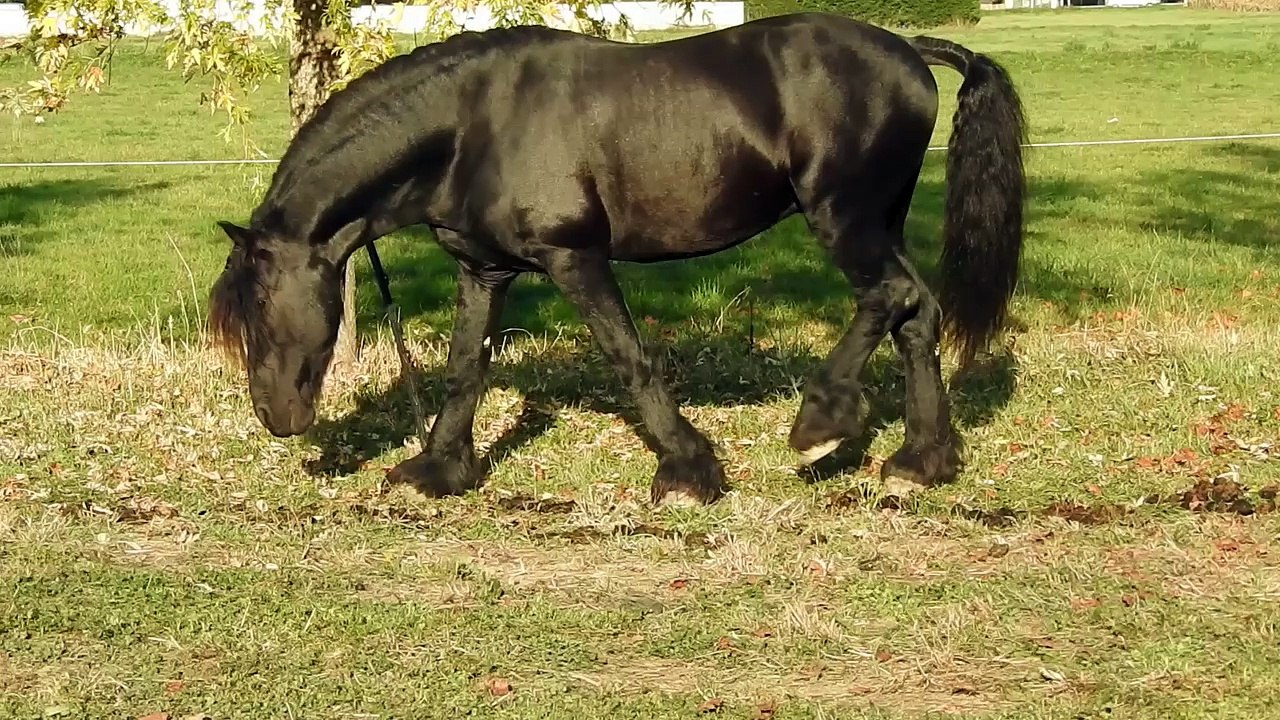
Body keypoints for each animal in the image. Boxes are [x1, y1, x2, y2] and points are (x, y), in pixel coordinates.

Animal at [207, 12, 1027, 505]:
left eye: (260, 309)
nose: (275, 417)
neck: (472, 125)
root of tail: (910, 51)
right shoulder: (484, 270)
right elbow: (465, 367)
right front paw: (436, 469)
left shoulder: (575, 260)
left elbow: (629, 358)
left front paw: (688, 470)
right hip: (879, 222)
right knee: (917, 314)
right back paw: (921, 460)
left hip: (843, 218)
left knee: (889, 298)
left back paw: (819, 425)